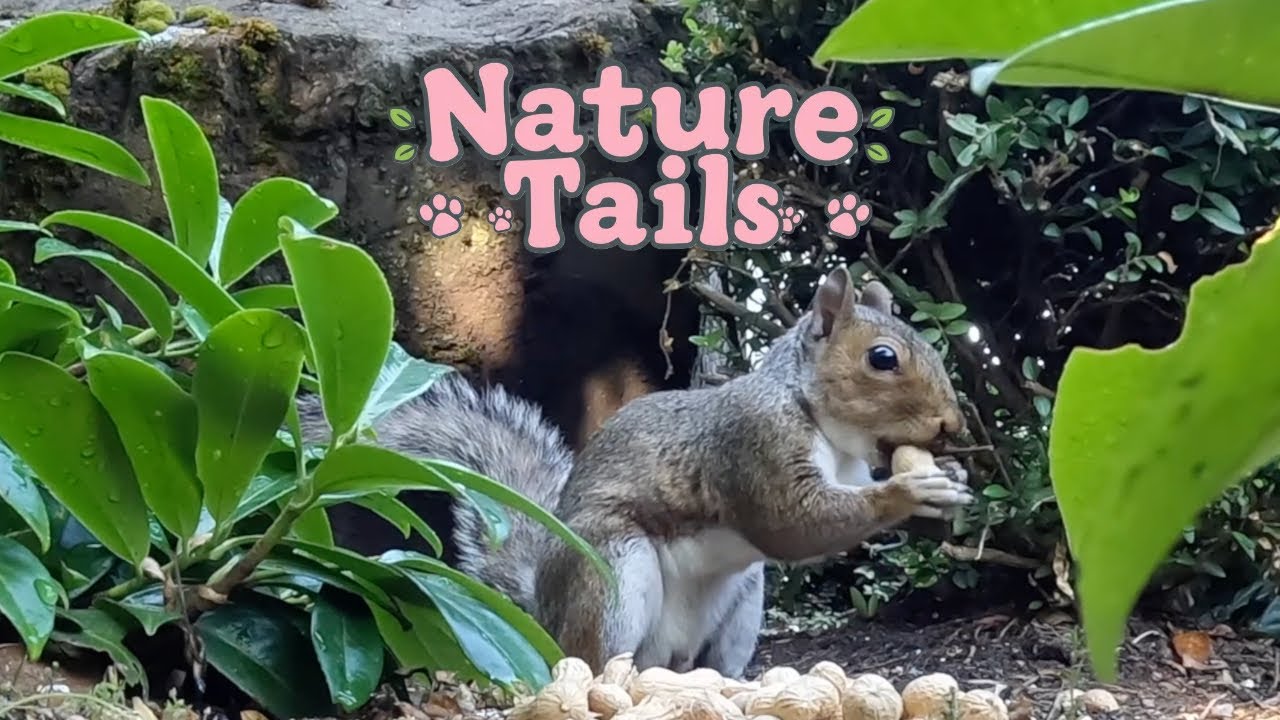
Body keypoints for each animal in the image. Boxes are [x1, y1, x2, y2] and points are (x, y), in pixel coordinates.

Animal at [299, 264, 972, 679]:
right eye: (881, 359)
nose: (953, 427)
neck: (821, 422)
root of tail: (544, 615)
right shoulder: (751, 444)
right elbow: (792, 524)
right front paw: (908, 491)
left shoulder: (849, 471)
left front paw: (947, 486)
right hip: (614, 572)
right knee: (593, 661)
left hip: (739, 603)